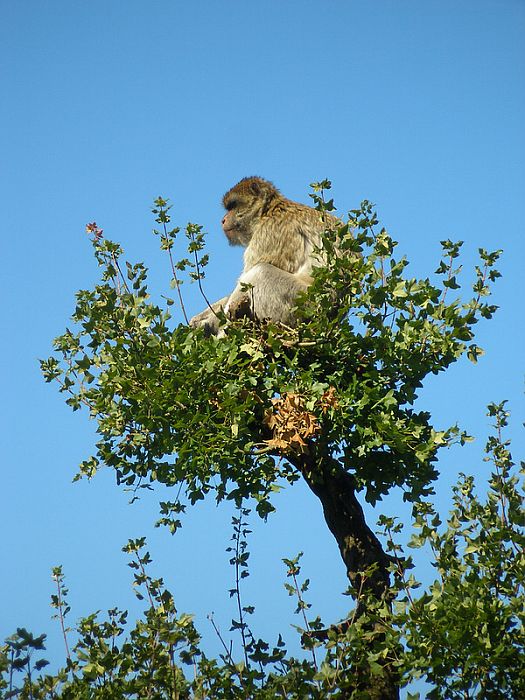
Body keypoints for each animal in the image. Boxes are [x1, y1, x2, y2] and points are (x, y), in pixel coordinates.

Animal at [189, 178, 340, 336]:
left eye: (233, 206)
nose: (223, 220)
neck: (269, 211)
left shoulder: (268, 233)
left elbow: (246, 279)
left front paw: (210, 322)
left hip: (300, 304)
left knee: (260, 271)